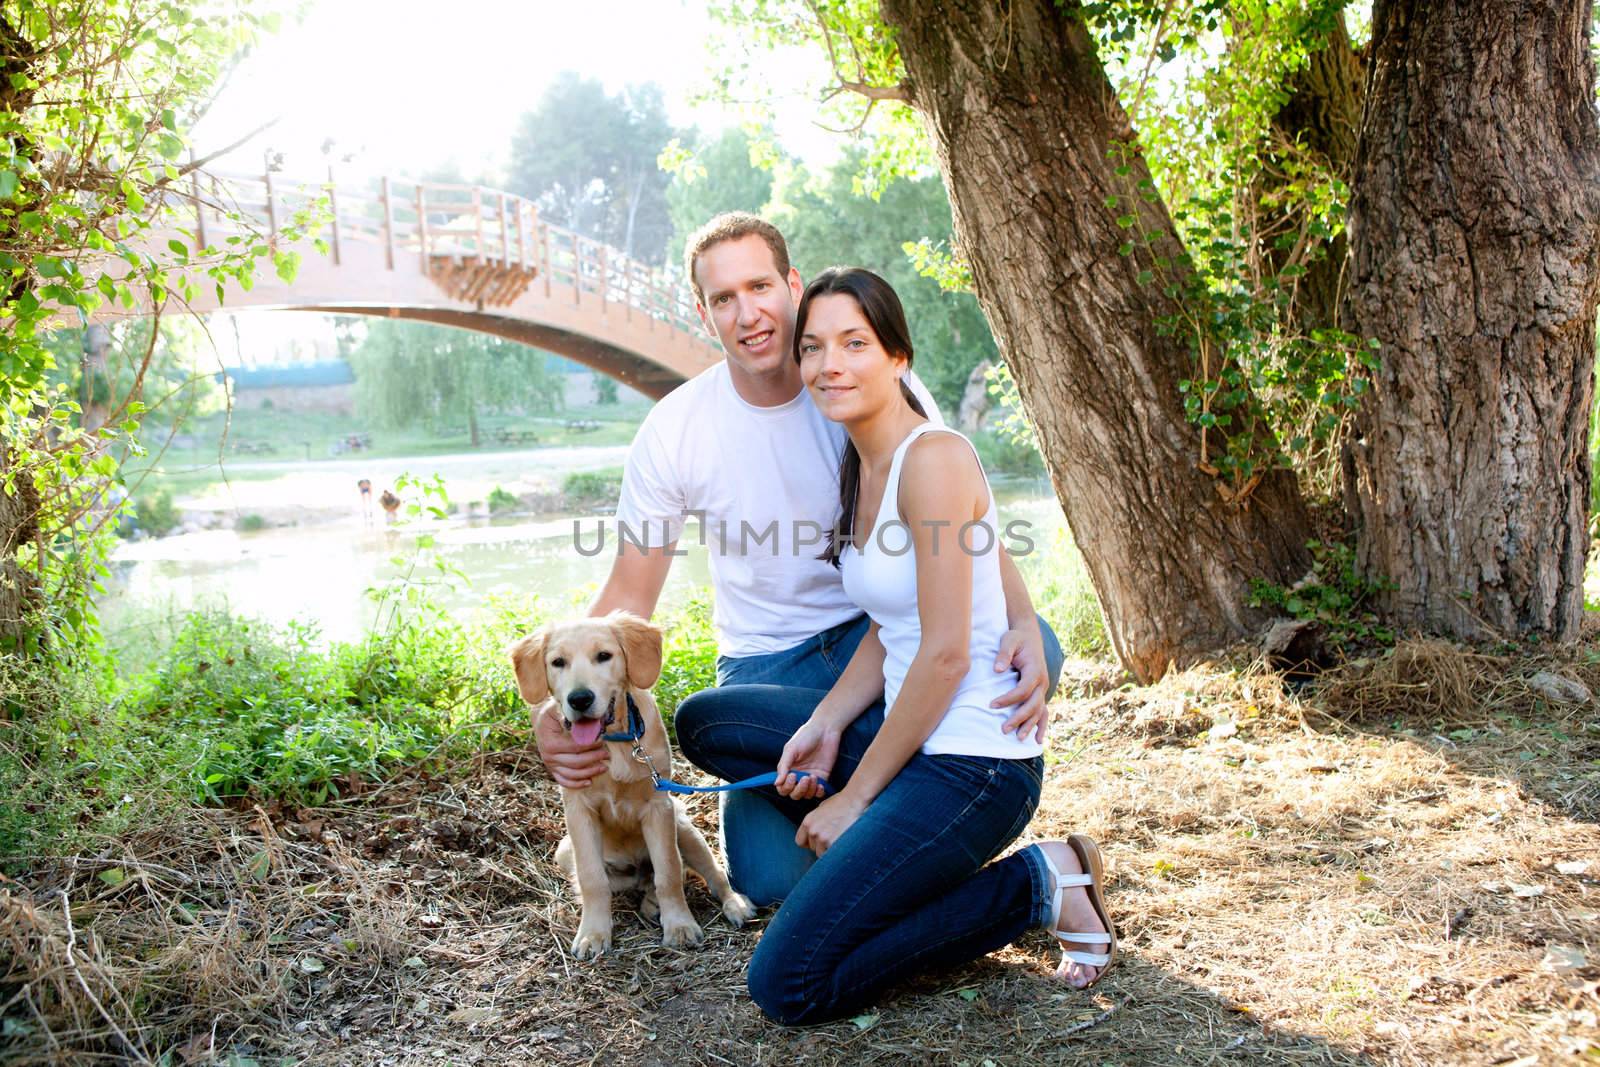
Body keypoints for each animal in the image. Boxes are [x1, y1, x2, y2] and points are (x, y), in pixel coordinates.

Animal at [505, 607, 755, 959]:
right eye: (558, 662)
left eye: (603, 656)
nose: (579, 699)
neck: (615, 742)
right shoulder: (578, 813)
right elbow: (593, 879)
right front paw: (593, 933)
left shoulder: (659, 808)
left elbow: (669, 872)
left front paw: (679, 925)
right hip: (565, 850)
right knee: (624, 882)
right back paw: (648, 903)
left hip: (683, 827)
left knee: (707, 872)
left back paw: (733, 903)